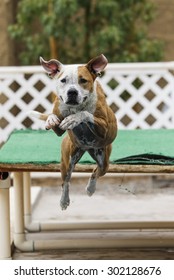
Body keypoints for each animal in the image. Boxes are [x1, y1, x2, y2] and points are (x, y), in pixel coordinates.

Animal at [30, 54, 117, 210]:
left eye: (83, 80)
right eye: (63, 80)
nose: (72, 92)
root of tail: (87, 148)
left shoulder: (104, 127)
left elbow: (85, 114)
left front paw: (73, 119)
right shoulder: (59, 127)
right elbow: (55, 119)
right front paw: (51, 120)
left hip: (104, 162)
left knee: (96, 172)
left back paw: (90, 189)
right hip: (67, 160)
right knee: (66, 181)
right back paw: (64, 200)